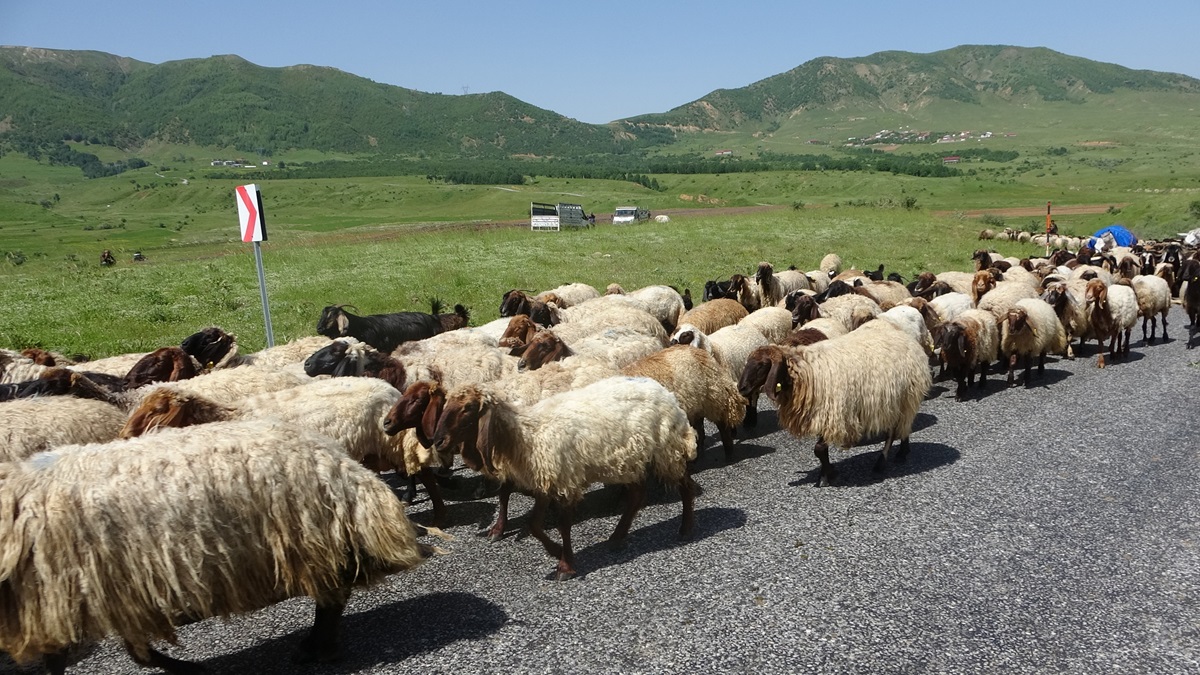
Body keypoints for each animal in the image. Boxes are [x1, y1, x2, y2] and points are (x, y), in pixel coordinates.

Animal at [432, 372, 700, 578]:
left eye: (467, 408)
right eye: (445, 406)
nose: (437, 441)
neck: (527, 435)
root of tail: (664, 391)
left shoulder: (564, 480)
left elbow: (562, 525)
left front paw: (565, 564)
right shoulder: (545, 481)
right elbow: (534, 525)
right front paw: (555, 551)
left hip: (667, 450)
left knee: (685, 487)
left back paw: (686, 529)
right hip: (630, 459)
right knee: (636, 496)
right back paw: (617, 538)